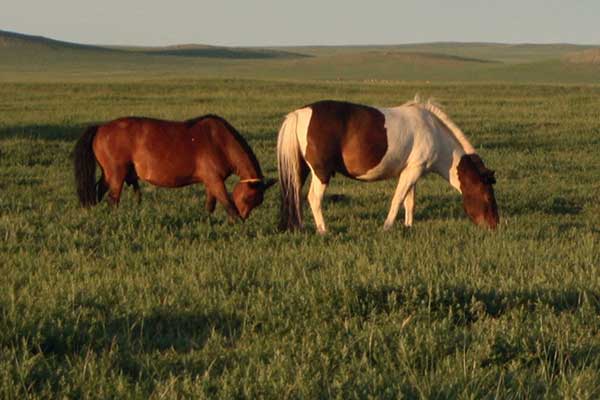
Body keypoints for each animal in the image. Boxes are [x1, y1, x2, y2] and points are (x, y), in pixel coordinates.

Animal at [73, 114, 276, 220]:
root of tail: (100, 128)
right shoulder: (215, 181)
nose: (245, 217)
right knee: (112, 199)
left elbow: (210, 205)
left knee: (98, 191)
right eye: (249, 198)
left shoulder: (210, 182)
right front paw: (237, 223)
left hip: (109, 174)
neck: (221, 142)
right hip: (116, 175)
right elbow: (227, 204)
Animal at [278, 98, 500, 233]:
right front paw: (387, 227)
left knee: (295, 195)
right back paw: (323, 230)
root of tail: (299, 113)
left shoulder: (412, 171)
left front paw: (408, 226)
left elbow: (409, 202)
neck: (433, 131)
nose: (495, 225)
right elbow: (397, 200)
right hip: (321, 172)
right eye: (488, 196)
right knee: (313, 198)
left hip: (301, 170)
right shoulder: (412, 171)